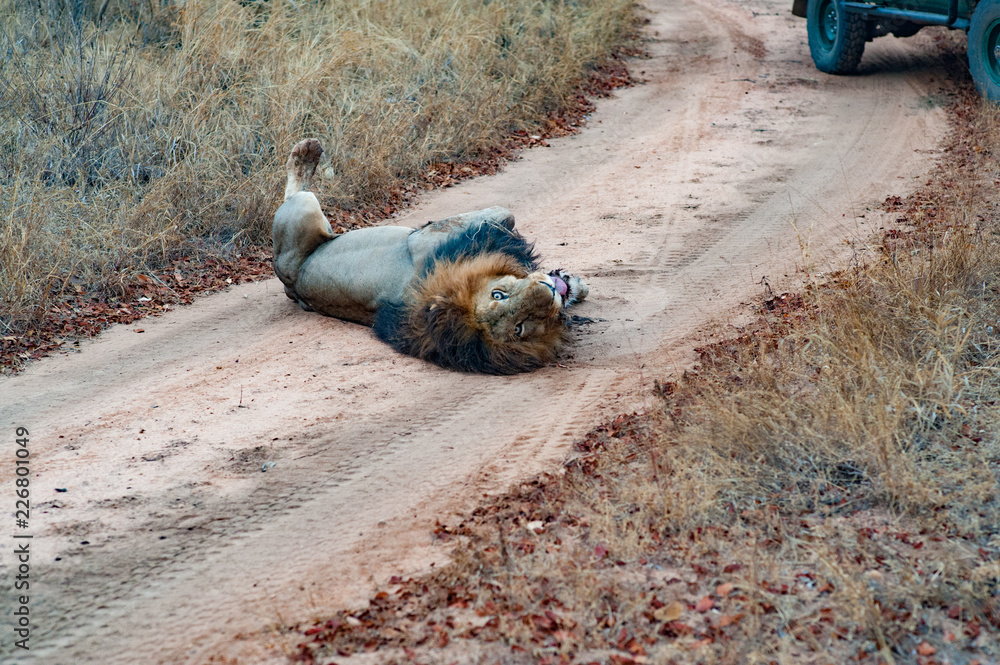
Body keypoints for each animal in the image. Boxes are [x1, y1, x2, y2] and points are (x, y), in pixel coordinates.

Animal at [272, 138, 589, 374]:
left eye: (519, 327)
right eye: (498, 296)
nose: (547, 292)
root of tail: (292, 285)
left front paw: (572, 286)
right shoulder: (430, 236)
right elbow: (505, 216)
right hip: (305, 208)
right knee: (293, 189)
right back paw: (307, 152)